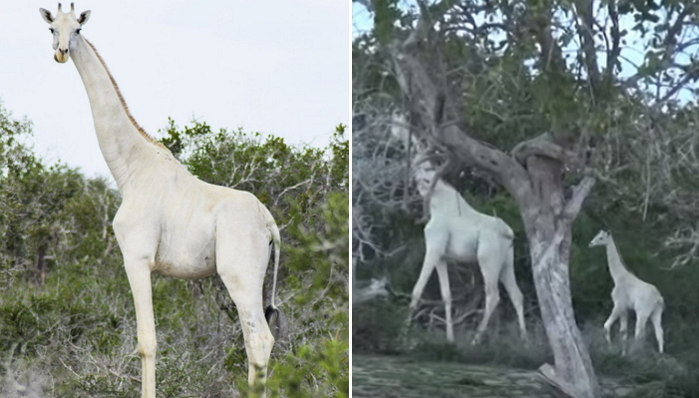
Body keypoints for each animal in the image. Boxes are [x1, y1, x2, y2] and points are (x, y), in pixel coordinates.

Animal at [40, 4, 282, 396]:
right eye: (51, 28)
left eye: (78, 28)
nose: (61, 52)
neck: (130, 170)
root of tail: (269, 223)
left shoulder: (136, 258)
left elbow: (147, 342)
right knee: (255, 340)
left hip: (240, 275)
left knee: (259, 338)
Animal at [408, 163, 528, 344]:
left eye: (428, 170)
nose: (415, 179)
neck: (438, 206)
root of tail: (509, 234)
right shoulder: (442, 257)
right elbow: (446, 295)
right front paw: (450, 339)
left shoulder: (433, 249)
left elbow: (417, 290)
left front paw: (403, 333)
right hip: (506, 263)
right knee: (516, 295)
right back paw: (525, 340)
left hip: (488, 261)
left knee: (493, 295)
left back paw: (475, 340)